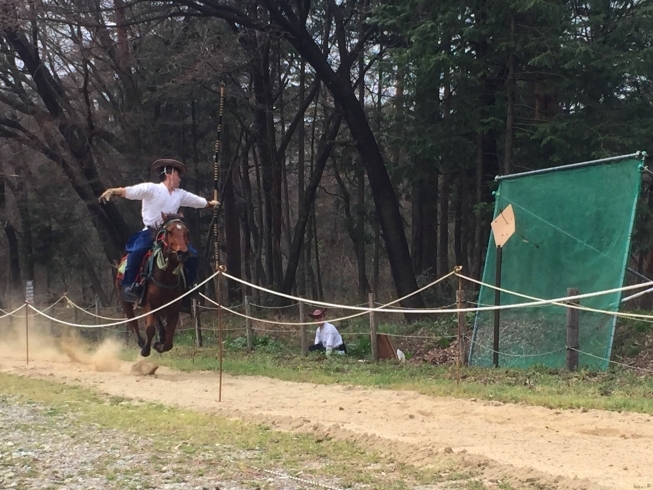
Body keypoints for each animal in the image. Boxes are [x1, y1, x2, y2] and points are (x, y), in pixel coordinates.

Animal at [117, 212, 190, 358]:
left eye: (186, 232)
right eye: (170, 231)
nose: (183, 253)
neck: (165, 277)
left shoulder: (174, 309)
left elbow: (169, 341)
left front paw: (159, 345)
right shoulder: (148, 304)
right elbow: (149, 328)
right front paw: (145, 349)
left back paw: (160, 336)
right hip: (125, 301)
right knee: (133, 322)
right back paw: (141, 342)